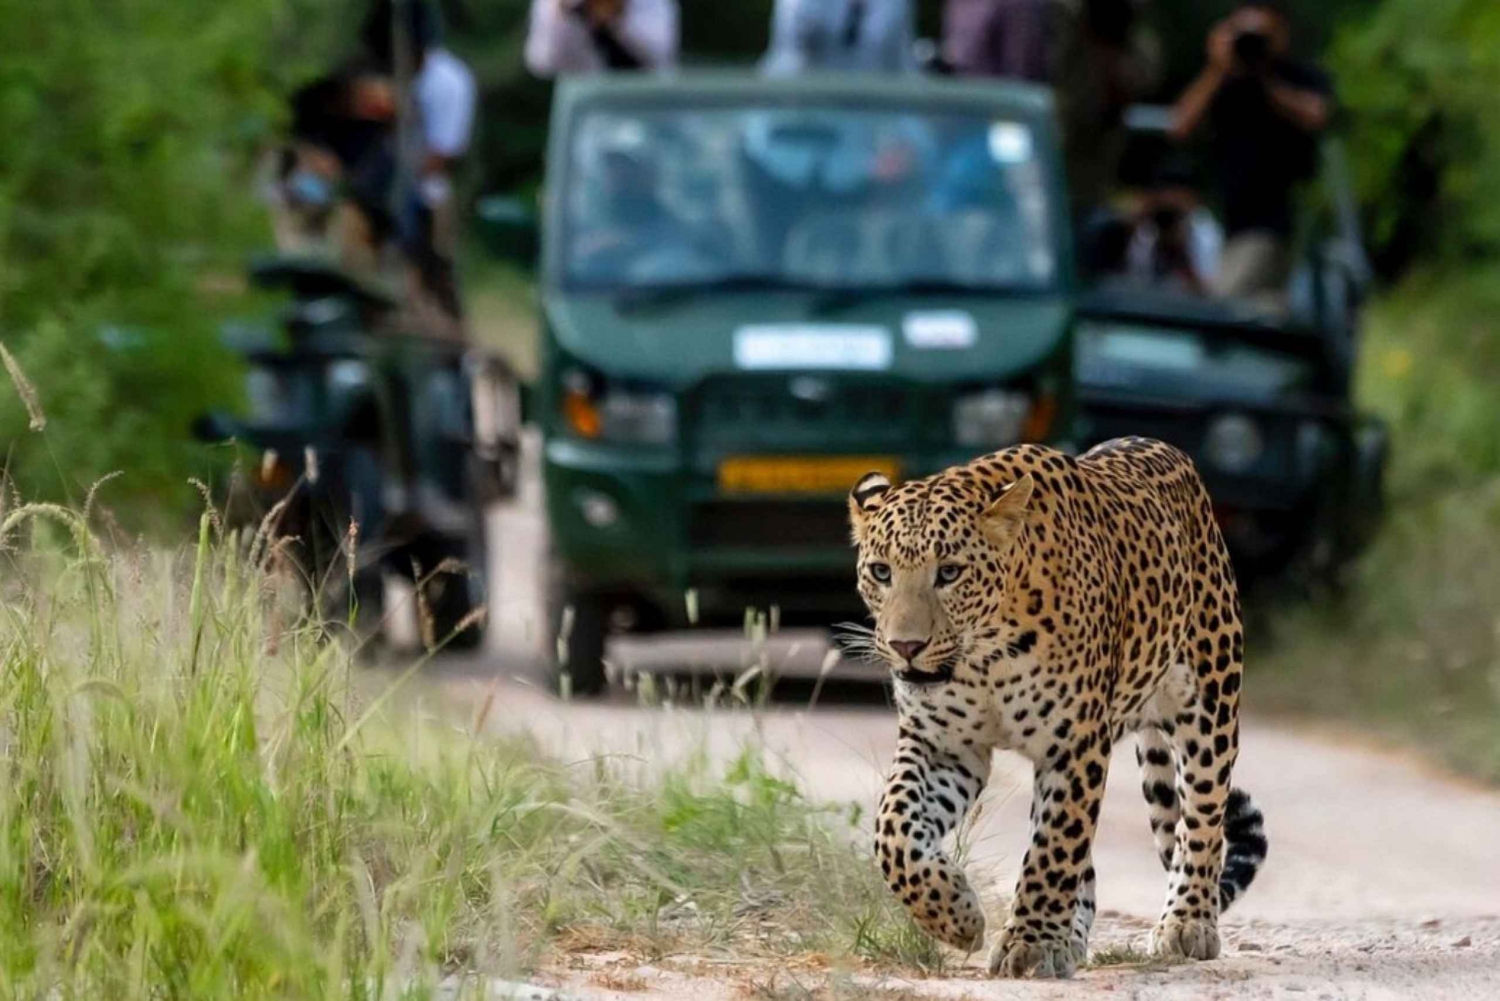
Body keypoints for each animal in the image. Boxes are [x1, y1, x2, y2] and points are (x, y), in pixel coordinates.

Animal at [846, 435, 1266, 978]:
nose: (906, 646)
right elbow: (893, 831)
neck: (985, 655)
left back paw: (1188, 922)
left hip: (1210, 704)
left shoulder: (1074, 746)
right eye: (881, 572)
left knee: (1201, 820)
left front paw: (1029, 944)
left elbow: (1053, 848)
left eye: (950, 573)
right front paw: (955, 915)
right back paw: (1071, 940)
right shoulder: (943, 746)